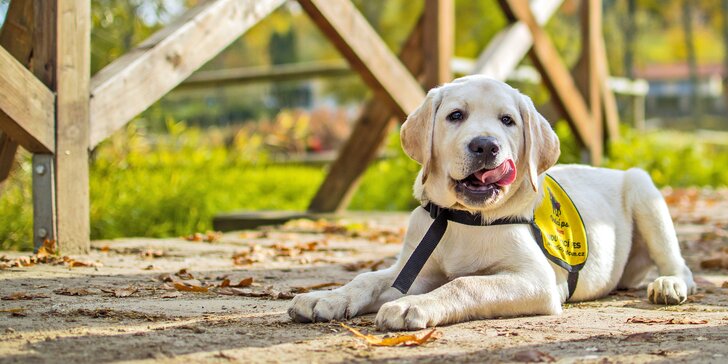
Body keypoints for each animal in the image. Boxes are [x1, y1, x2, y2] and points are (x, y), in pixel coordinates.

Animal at [288, 76, 696, 330]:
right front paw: (326, 297)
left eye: (507, 120)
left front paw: (410, 306)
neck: (462, 219)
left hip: (644, 191)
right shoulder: (414, 266)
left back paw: (668, 285)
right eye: (455, 115)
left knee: (679, 265)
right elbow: (366, 279)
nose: (486, 145)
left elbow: (466, 284)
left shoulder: (537, 280)